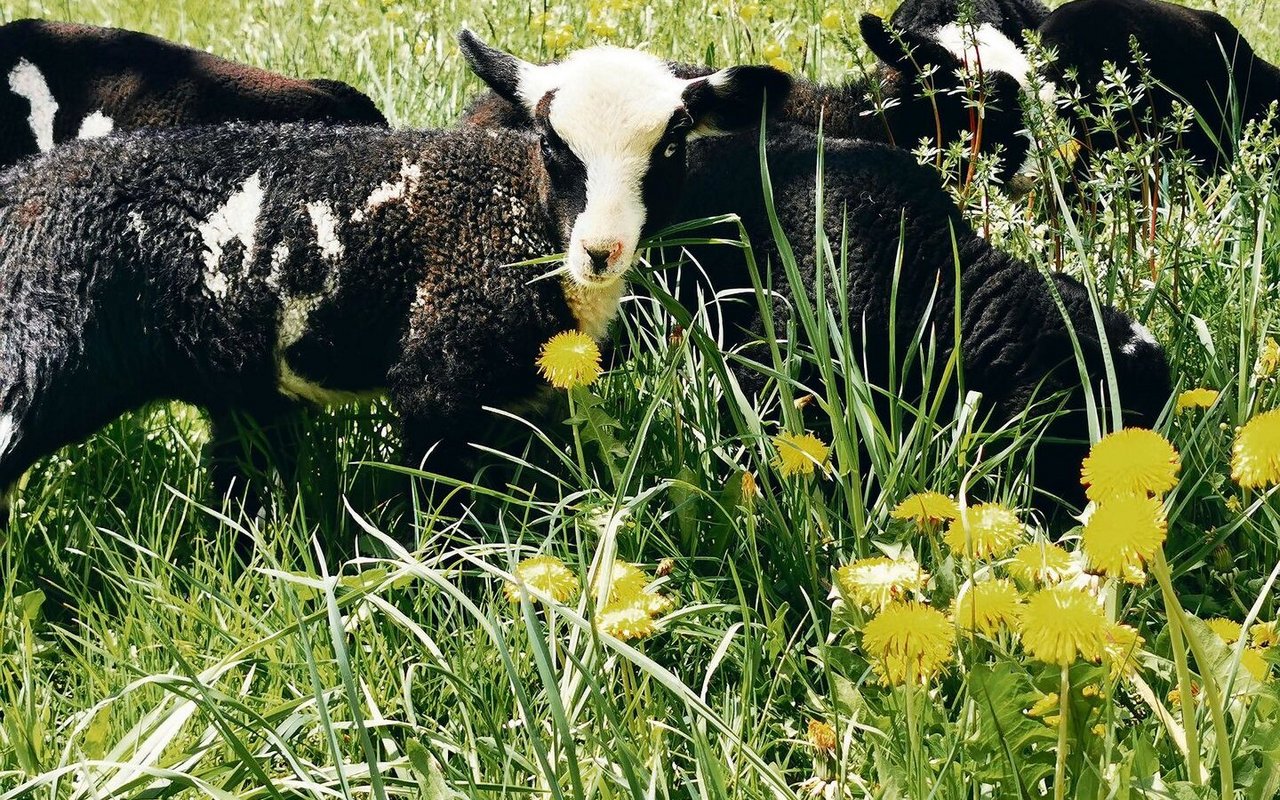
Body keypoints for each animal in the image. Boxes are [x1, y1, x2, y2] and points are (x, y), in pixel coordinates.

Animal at [0, 32, 788, 517]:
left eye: (672, 145)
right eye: (550, 143)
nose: (601, 250)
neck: (507, 212)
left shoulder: (529, 396)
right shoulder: (438, 383)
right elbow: (447, 516)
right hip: (30, 362)